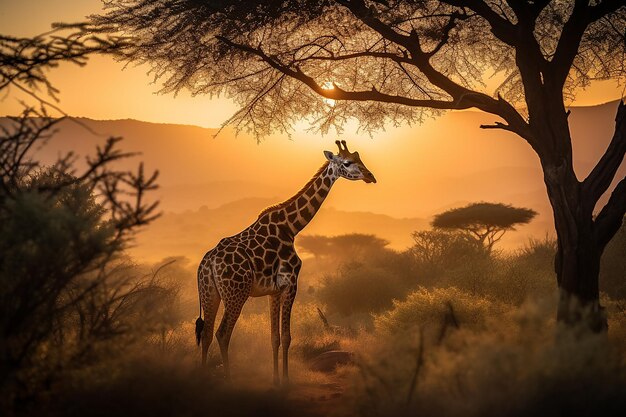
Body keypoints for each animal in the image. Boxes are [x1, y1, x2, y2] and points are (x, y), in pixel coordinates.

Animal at [193, 140, 372, 384]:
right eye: (347, 162)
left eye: (359, 158)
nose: (370, 176)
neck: (291, 227)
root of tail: (209, 262)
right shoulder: (291, 283)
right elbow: (287, 337)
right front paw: (286, 381)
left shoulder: (273, 291)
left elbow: (274, 337)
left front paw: (276, 379)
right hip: (236, 293)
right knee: (223, 334)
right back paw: (228, 381)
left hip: (210, 292)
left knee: (207, 333)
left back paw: (203, 379)